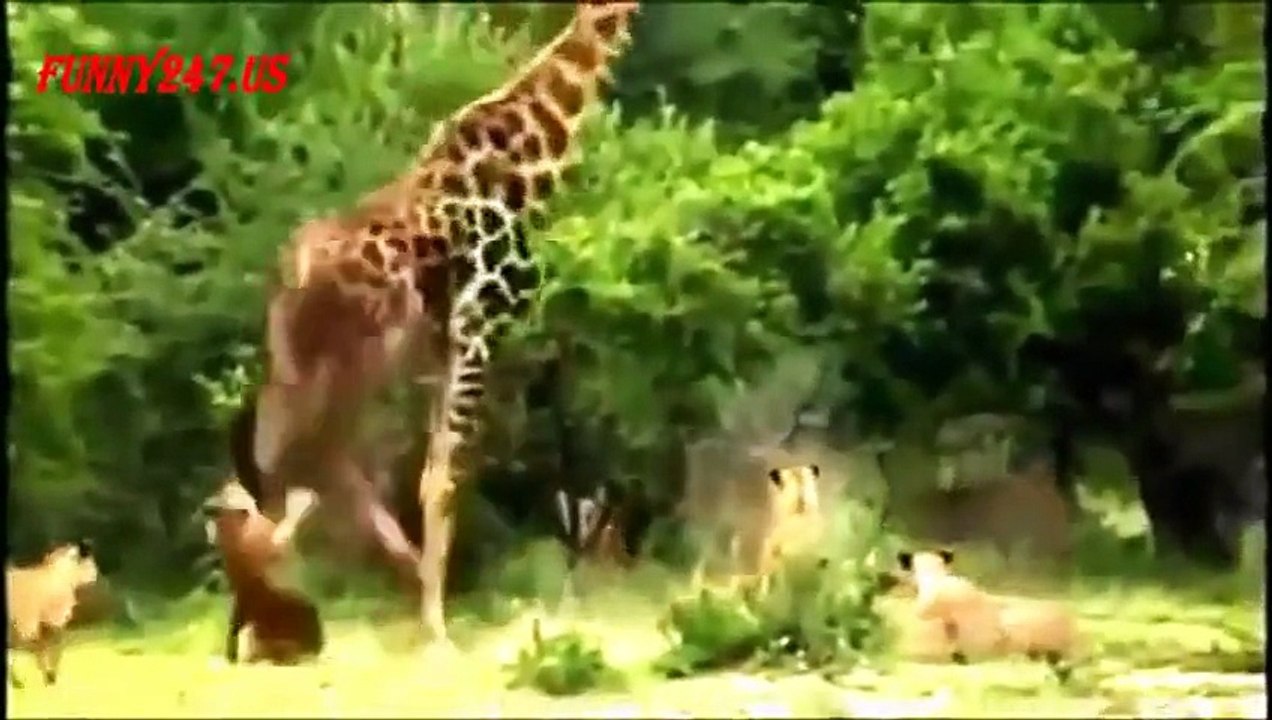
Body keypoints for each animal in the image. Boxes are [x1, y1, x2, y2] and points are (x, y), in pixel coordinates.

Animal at [248, 1, 641, 644]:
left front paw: (431, 605)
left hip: (306, 362)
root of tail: (293, 273)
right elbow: (444, 478)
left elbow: (431, 472)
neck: (532, 158)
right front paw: (437, 625)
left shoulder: (441, 346)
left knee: (298, 457)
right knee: (306, 455)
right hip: (349, 360)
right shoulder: (479, 326)